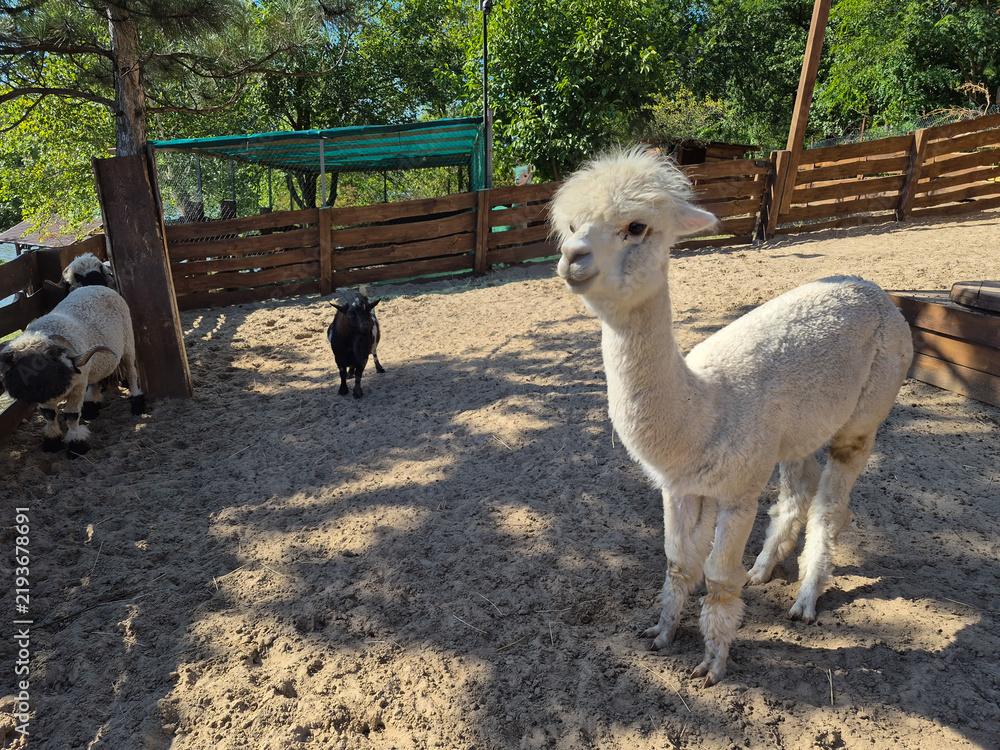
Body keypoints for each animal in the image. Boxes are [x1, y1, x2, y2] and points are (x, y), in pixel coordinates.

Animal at [0, 285, 145, 457]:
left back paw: (137, 402)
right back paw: (92, 406)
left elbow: (71, 416)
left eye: (50, 357)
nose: (30, 387)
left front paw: (77, 444)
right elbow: (49, 415)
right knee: (95, 381)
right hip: (95, 364)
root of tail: (96, 286)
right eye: (12, 361)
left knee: (131, 373)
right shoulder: (46, 396)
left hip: (128, 344)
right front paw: (52, 441)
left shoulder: (78, 386)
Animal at [549, 148, 913, 686]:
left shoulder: (737, 492)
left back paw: (805, 599)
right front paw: (661, 634)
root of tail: (871, 286)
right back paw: (762, 570)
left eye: (636, 227)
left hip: (867, 411)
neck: (704, 413)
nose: (573, 257)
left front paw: (713, 663)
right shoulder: (681, 487)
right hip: (797, 429)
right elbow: (678, 565)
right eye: (572, 225)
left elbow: (719, 578)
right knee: (796, 492)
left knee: (829, 508)